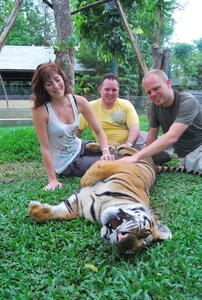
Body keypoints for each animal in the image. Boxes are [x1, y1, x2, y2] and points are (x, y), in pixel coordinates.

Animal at [28, 145, 178, 253]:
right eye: (144, 232)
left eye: (127, 250)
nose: (122, 240)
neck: (103, 206)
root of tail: (153, 164)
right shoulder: (125, 166)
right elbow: (98, 169)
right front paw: (85, 180)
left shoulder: (76, 206)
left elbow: (51, 213)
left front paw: (35, 207)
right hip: (126, 151)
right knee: (115, 146)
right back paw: (94, 148)